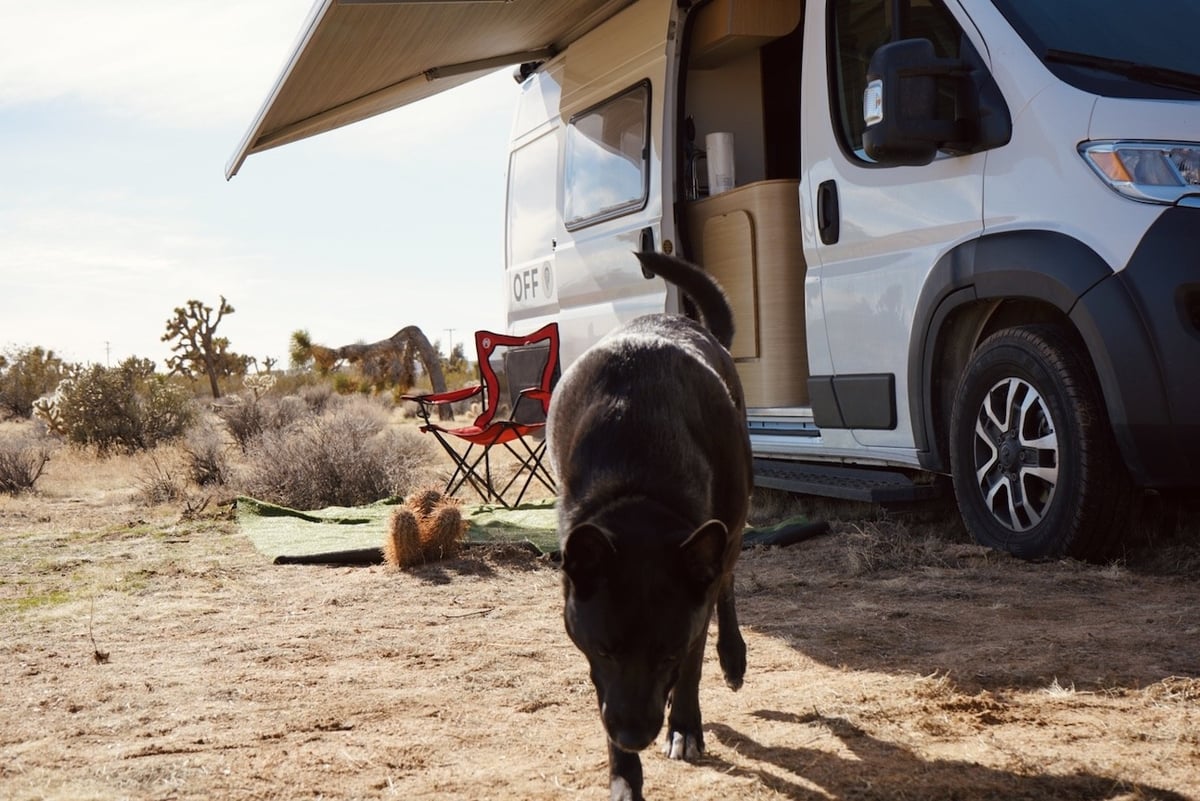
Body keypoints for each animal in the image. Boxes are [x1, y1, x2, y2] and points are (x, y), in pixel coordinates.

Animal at [549, 250, 748, 801]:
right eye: (605, 649)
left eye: (666, 654)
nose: (635, 737)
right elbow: (602, 691)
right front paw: (623, 777)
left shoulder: (691, 617)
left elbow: (694, 659)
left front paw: (684, 726)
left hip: (731, 528)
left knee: (725, 584)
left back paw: (732, 657)